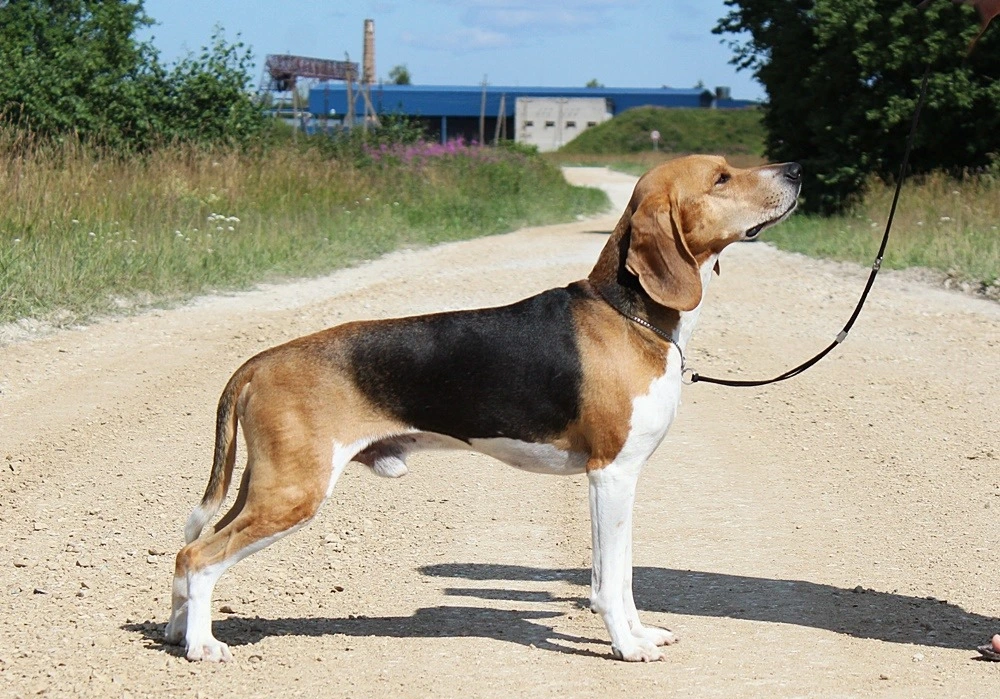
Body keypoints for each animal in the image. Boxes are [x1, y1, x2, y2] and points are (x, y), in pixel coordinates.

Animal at [168, 156, 800, 664]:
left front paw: (641, 633)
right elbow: (608, 580)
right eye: (721, 178)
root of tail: (261, 361)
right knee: (200, 555)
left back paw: (176, 632)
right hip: (291, 493)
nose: (795, 169)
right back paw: (202, 645)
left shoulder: (623, 479)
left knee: (185, 551)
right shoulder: (611, 475)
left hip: (265, 486)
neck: (629, 312)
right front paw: (627, 646)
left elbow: (623, 576)